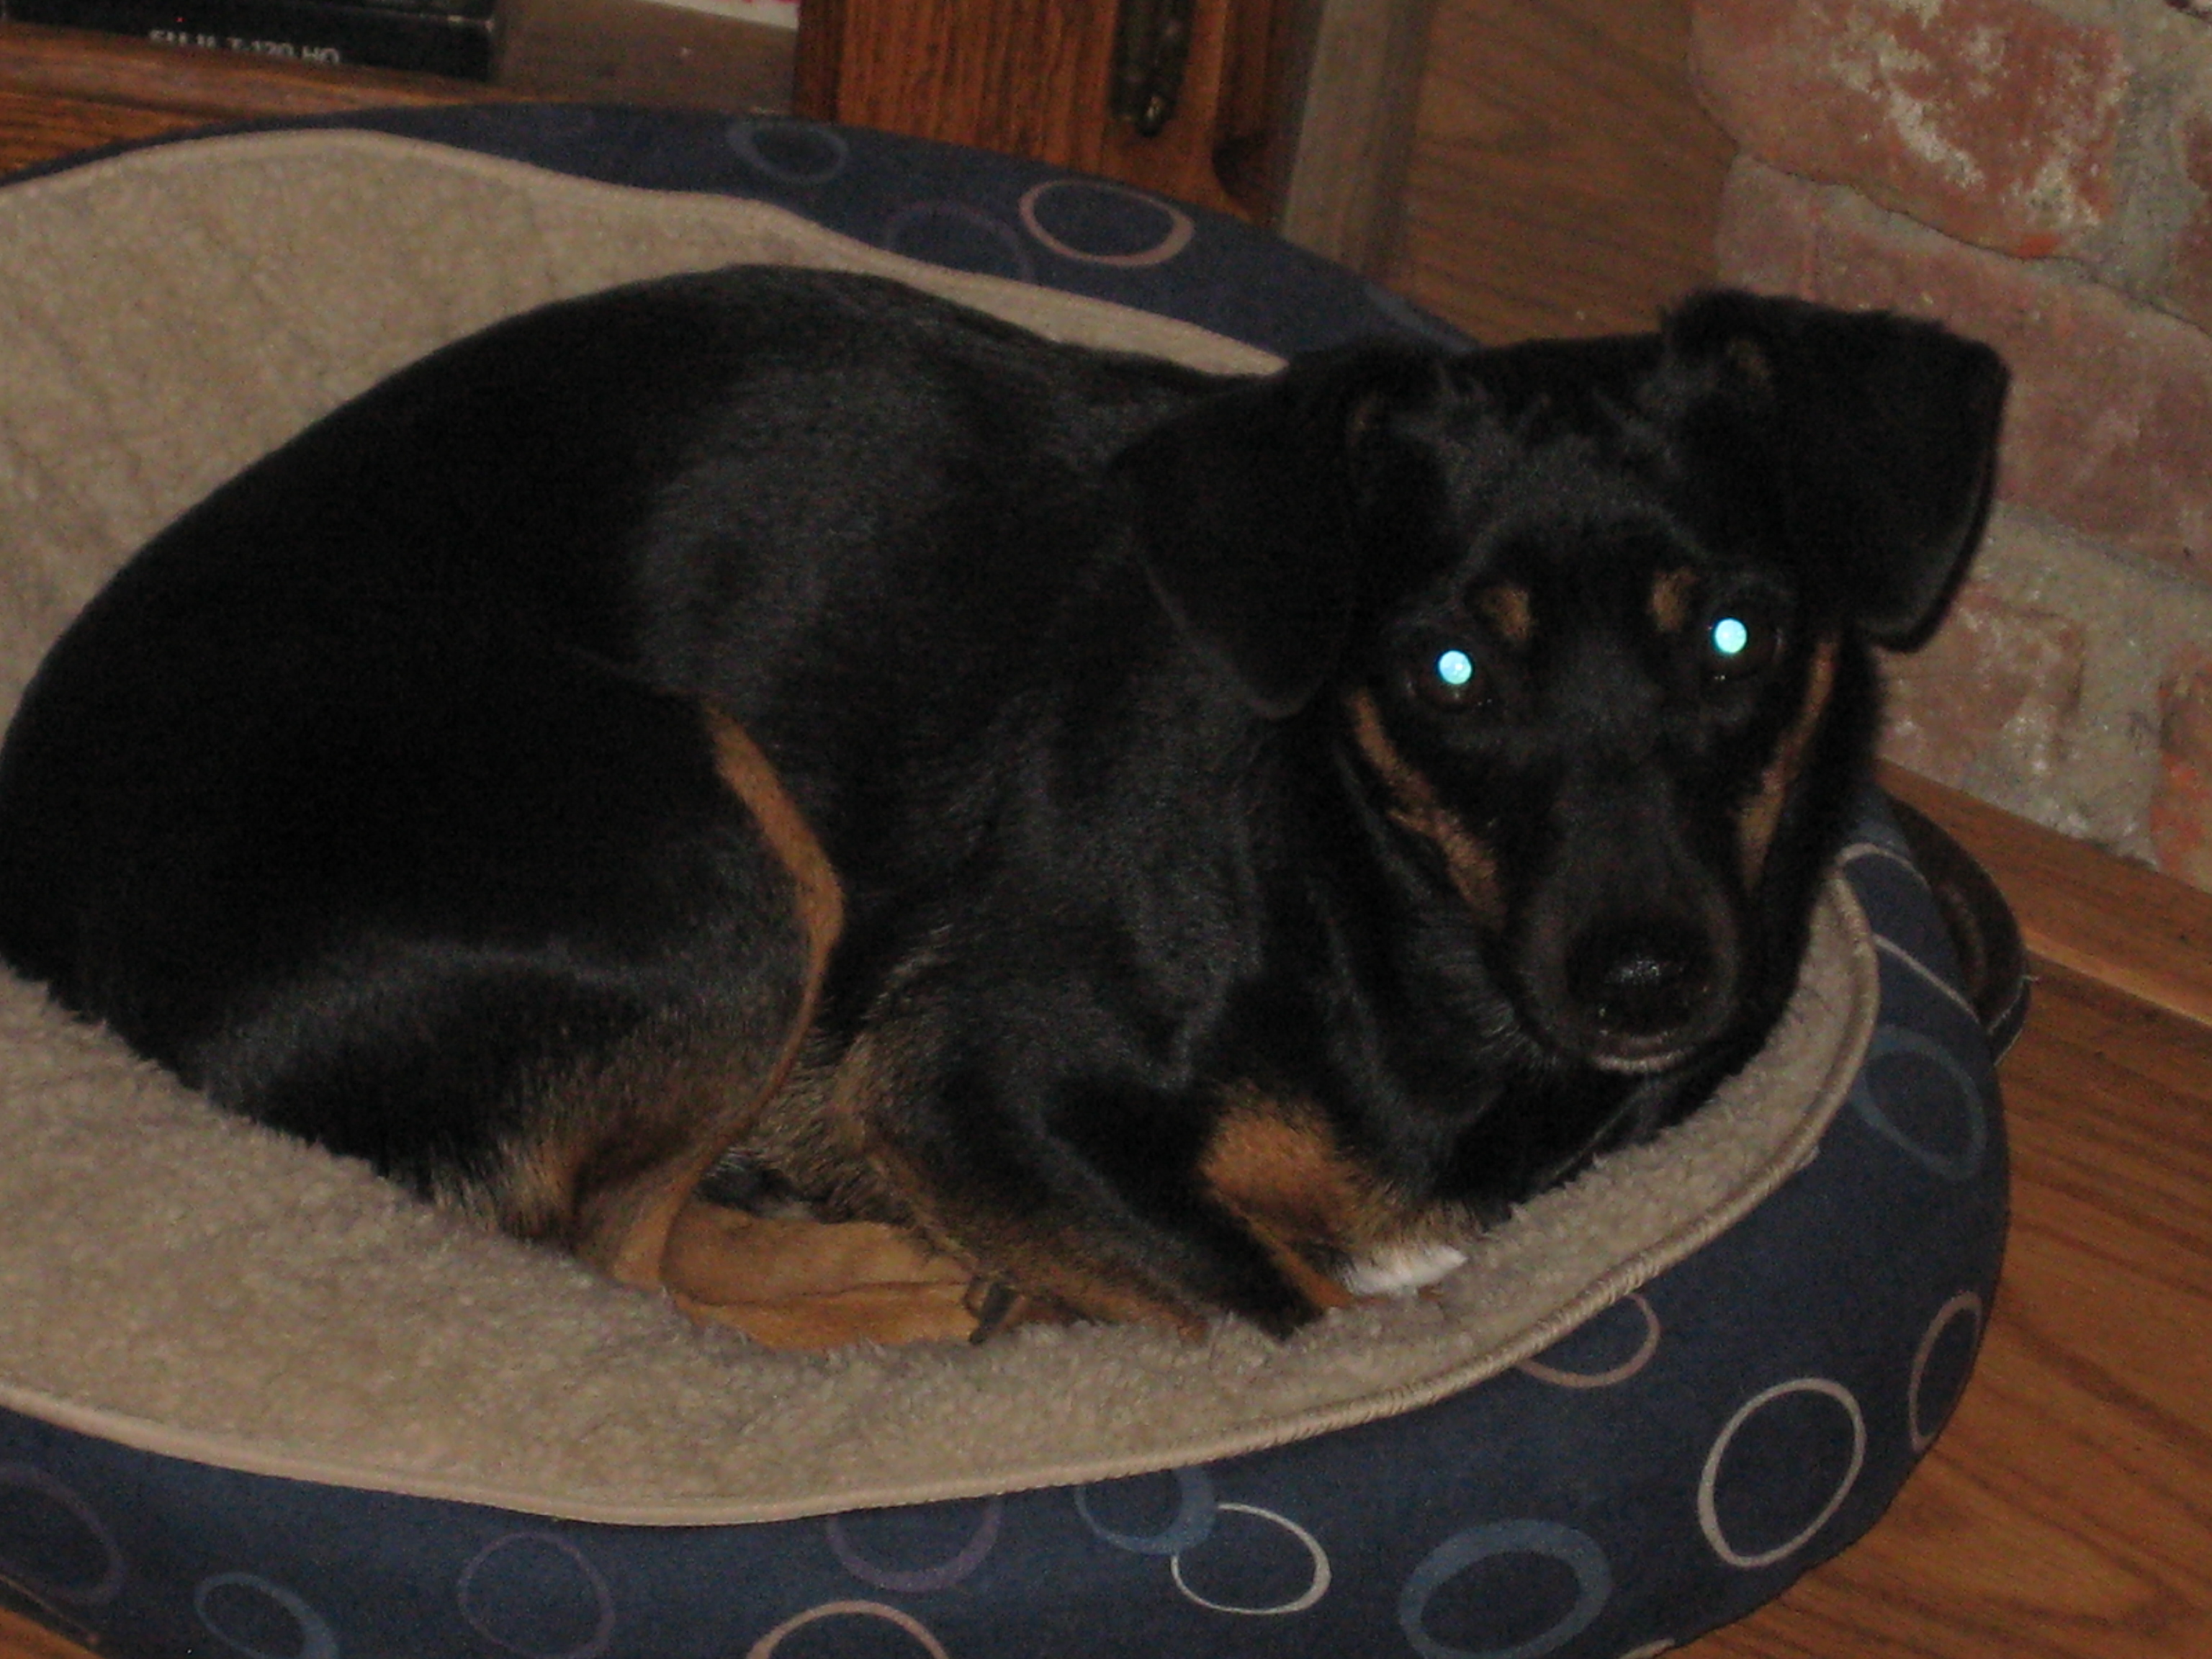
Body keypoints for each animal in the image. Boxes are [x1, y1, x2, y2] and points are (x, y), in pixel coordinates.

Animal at [0, 269, 2005, 1346]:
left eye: (1736, 635)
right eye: (1445, 672)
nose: (1649, 984)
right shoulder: (973, 1086)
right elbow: (1284, 1311)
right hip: (727, 863)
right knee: (600, 1257)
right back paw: (883, 1295)